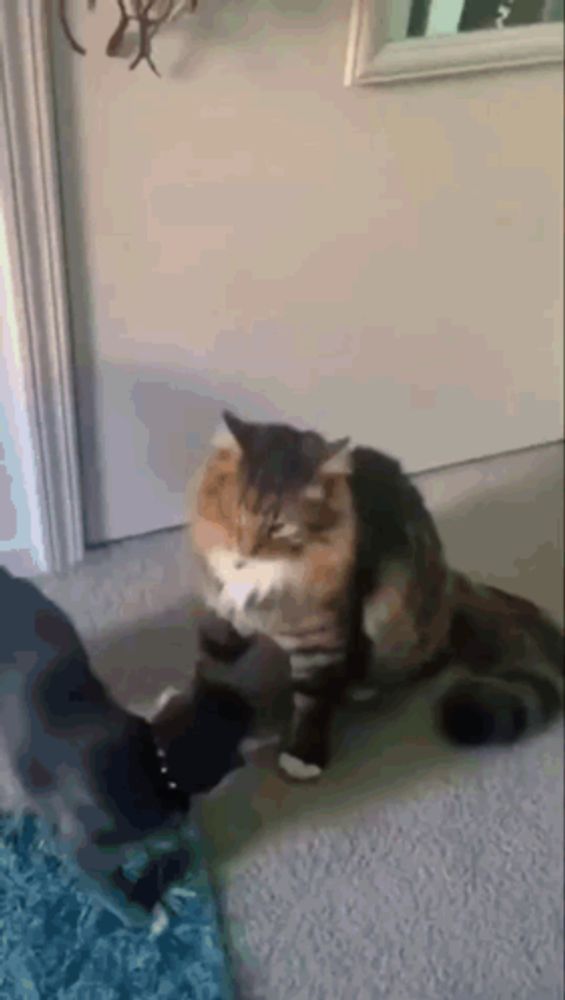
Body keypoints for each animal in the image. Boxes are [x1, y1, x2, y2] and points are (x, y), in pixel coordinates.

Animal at [191, 412, 564, 780]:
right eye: (236, 513)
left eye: (279, 525)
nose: (244, 552)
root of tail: (449, 582)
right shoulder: (221, 617)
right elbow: (213, 668)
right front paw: (207, 721)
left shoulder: (320, 640)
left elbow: (313, 700)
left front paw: (303, 755)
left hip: (390, 609)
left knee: (428, 659)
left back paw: (360, 688)